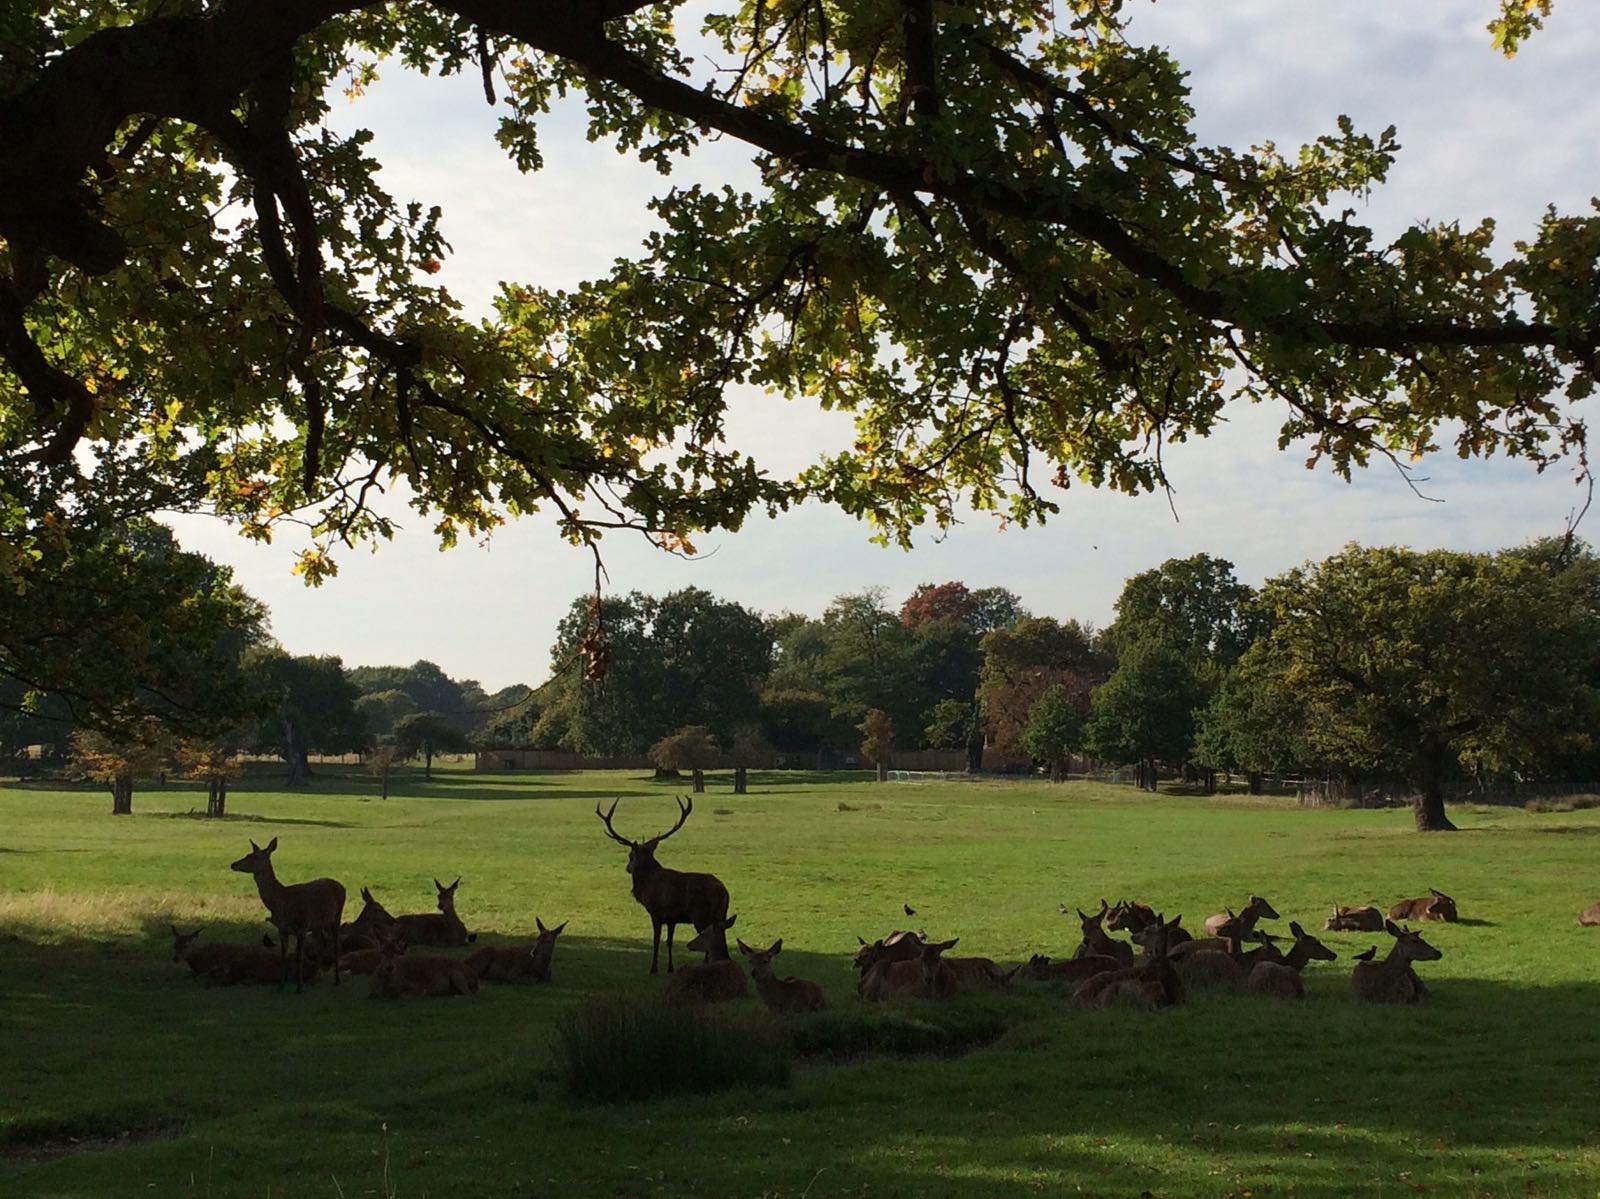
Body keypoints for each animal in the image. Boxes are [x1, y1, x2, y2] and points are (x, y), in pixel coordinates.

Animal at [228, 832, 344, 992]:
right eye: (247, 854)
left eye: (255, 857)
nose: (233, 864)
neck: (282, 902)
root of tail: (342, 886)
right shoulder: (282, 929)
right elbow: (283, 956)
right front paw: (280, 986)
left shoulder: (301, 927)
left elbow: (298, 957)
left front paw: (299, 988)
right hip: (317, 925)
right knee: (322, 944)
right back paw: (314, 981)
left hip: (336, 916)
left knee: (336, 944)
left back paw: (337, 980)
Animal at [598, 793, 729, 973]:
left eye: (630, 855)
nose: (627, 868)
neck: (646, 885)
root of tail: (724, 893)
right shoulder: (672, 918)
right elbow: (669, 941)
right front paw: (670, 968)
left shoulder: (656, 911)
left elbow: (656, 940)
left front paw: (653, 968)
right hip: (721, 914)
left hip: (701, 914)